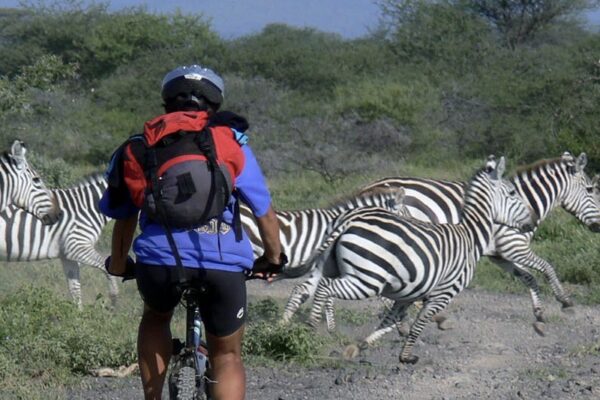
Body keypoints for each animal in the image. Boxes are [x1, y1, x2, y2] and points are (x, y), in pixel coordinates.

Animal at [0, 173, 119, 308]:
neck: (88, 209)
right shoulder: (77, 246)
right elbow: (106, 267)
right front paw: (113, 301)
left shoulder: (67, 255)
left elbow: (75, 289)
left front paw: (78, 313)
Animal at [282, 155, 536, 362]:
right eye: (513, 193)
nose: (532, 222)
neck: (470, 236)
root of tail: (348, 219)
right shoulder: (443, 293)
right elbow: (419, 322)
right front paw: (406, 356)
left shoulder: (407, 294)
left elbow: (390, 321)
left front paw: (360, 347)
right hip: (367, 279)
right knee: (326, 288)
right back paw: (311, 328)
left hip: (329, 267)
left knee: (309, 288)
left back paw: (298, 328)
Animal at [284, 152, 596, 332]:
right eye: (593, 189)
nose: (599, 227)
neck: (522, 200)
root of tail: (368, 187)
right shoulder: (513, 246)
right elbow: (547, 267)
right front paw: (566, 301)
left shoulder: (500, 255)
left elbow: (529, 277)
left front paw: (540, 313)